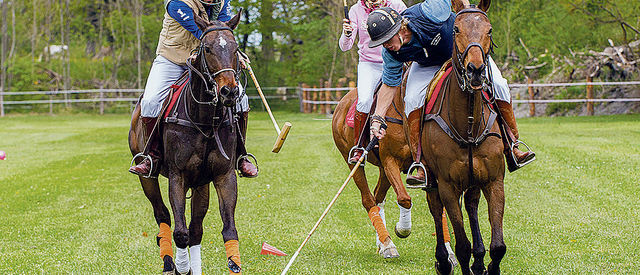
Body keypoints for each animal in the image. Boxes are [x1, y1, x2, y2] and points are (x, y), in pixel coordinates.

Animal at [129, 12, 244, 275]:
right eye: (208, 48)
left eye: (236, 48)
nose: (229, 92)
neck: (205, 121)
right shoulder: (177, 176)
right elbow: (180, 232)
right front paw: (183, 267)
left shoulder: (223, 175)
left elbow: (228, 230)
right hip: (147, 176)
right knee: (163, 216)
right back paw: (169, 263)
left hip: (200, 183)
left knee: (196, 229)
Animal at [420, 1, 510, 274]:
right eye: (457, 29)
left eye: (489, 30)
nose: (476, 70)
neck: (468, 125)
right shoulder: (447, 185)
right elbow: (461, 245)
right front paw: (458, 259)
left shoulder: (494, 181)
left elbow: (498, 246)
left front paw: (487, 265)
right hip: (432, 179)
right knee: (436, 209)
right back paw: (443, 260)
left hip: (474, 180)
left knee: (471, 205)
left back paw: (479, 260)